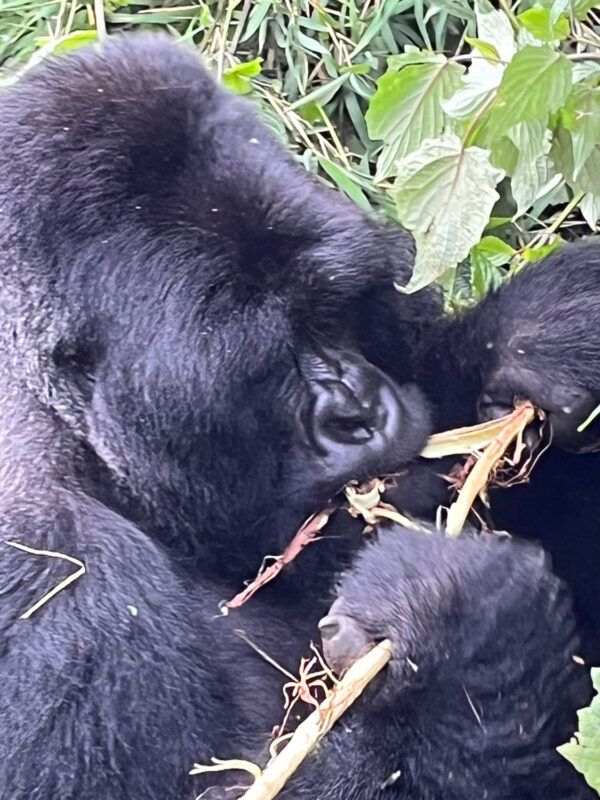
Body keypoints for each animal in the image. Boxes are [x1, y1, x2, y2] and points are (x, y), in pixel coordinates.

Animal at [0, 32, 596, 800]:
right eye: (265, 360)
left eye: (329, 308)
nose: (359, 413)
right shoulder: (47, 577)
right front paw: (462, 642)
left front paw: (542, 332)